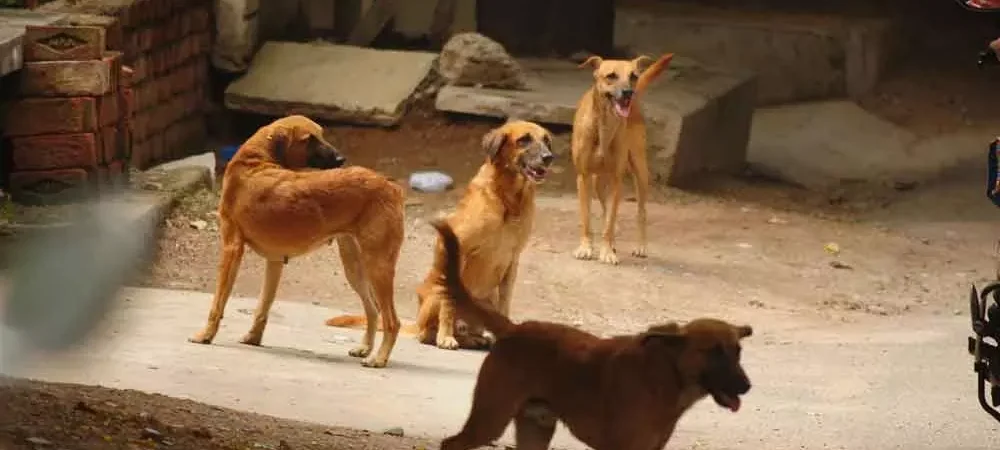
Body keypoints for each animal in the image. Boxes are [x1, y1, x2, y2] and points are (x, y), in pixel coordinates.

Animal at [187, 115, 406, 369]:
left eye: (320, 135)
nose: (341, 159)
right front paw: (253, 337)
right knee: (373, 310)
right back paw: (365, 348)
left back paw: (379, 359)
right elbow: (262, 306)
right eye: (309, 139)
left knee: (392, 320)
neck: (255, 161)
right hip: (356, 268)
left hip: (378, 267)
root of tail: (390, 185)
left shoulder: (231, 249)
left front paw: (206, 335)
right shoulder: (274, 261)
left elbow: (217, 304)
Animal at [326, 119, 556, 350]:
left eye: (546, 140)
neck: (508, 200)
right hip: (437, 289)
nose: (549, 157)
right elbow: (449, 307)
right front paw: (446, 337)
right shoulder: (459, 248)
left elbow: (505, 304)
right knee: (426, 333)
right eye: (524, 140)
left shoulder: (512, 262)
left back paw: (478, 339)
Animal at [430, 219, 753, 450]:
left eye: (737, 352)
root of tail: (514, 328)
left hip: (535, 429)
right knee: (450, 444)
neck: (666, 373)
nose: (747, 386)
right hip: (490, 420)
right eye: (713, 351)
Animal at [571, 53, 673, 265]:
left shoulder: (617, 180)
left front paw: (607, 251)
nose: (628, 93)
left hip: (640, 172)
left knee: (641, 212)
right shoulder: (583, 177)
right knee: (605, 207)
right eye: (611, 76)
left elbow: (610, 221)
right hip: (598, 182)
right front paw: (586, 247)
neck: (604, 127)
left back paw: (639, 246)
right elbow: (587, 218)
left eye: (633, 76)